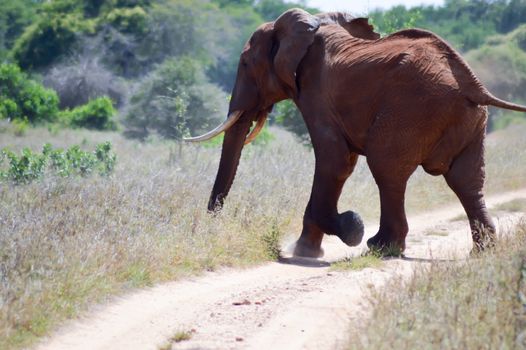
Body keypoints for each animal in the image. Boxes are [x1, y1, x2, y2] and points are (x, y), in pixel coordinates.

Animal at [187, 7, 526, 258]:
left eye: (245, 63)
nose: (213, 222)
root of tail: (473, 84)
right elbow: (341, 162)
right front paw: (306, 250)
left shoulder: (316, 92)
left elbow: (335, 160)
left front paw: (350, 229)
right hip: (469, 121)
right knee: (466, 180)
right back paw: (482, 252)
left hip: (412, 110)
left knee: (387, 169)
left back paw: (380, 246)